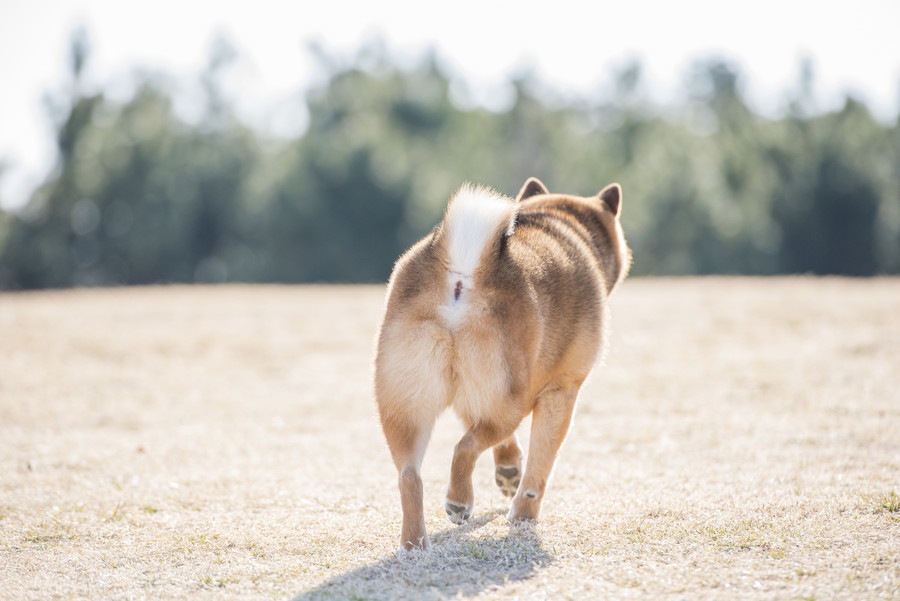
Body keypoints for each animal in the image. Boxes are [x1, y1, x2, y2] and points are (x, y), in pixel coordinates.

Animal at [376, 175, 628, 548]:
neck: (563, 224)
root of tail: (464, 272)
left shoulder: (471, 396)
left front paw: (509, 470)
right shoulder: (562, 390)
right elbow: (540, 467)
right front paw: (524, 515)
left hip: (406, 406)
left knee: (410, 475)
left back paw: (414, 542)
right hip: (512, 400)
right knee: (465, 448)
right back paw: (459, 502)